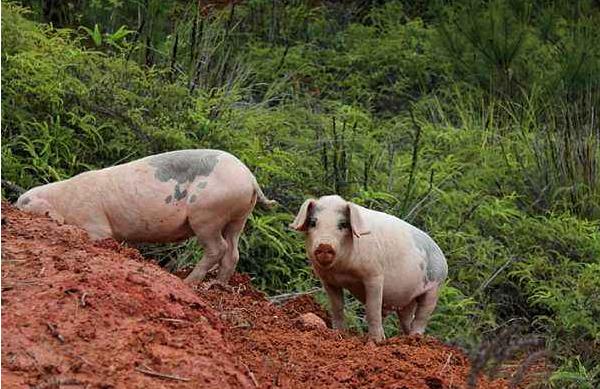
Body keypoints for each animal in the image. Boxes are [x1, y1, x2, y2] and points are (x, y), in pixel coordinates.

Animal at [15, 149, 276, 282]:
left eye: (24, 202)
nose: (14, 206)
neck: (62, 201)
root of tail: (250, 178)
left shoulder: (94, 221)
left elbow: (100, 236)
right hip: (238, 216)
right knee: (233, 251)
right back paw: (217, 284)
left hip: (207, 213)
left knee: (217, 248)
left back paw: (187, 282)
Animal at [290, 196, 446, 342]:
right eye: (313, 223)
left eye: (343, 224)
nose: (324, 245)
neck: (342, 270)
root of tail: (442, 257)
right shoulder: (328, 280)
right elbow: (337, 308)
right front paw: (338, 333)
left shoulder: (374, 274)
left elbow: (372, 309)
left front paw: (376, 341)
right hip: (407, 299)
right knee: (407, 318)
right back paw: (407, 339)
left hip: (435, 286)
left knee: (422, 315)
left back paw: (416, 338)